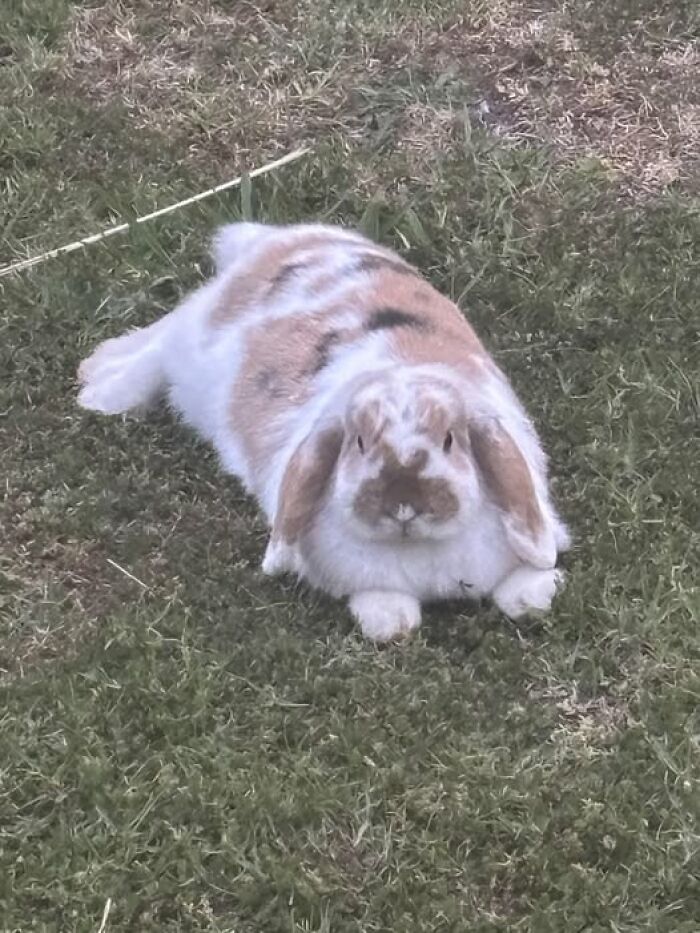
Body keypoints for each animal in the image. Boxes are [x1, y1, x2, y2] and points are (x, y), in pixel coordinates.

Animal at [78, 221, 570, 641]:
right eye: (359, 442)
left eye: (450, 441)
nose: (404, 506)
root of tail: (279, 241)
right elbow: (387, 611)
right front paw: (391, 620)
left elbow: (524, 584)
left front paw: (533, 595)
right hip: (195, 335)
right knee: (160, 344)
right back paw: (101, 385)